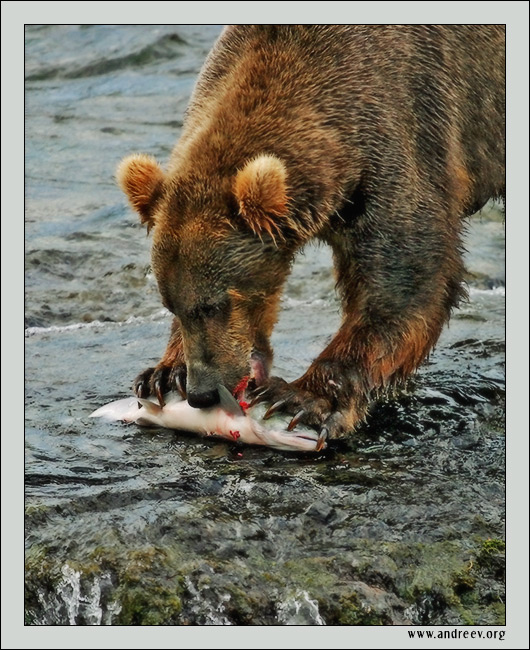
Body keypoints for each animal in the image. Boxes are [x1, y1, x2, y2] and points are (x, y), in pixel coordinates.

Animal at [115, 27, 504, 448]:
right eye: (172, 306)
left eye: (216, 304)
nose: (202, 393)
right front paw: (164, 374)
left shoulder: (404, 136)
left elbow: (405, 285)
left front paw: (299, 397)